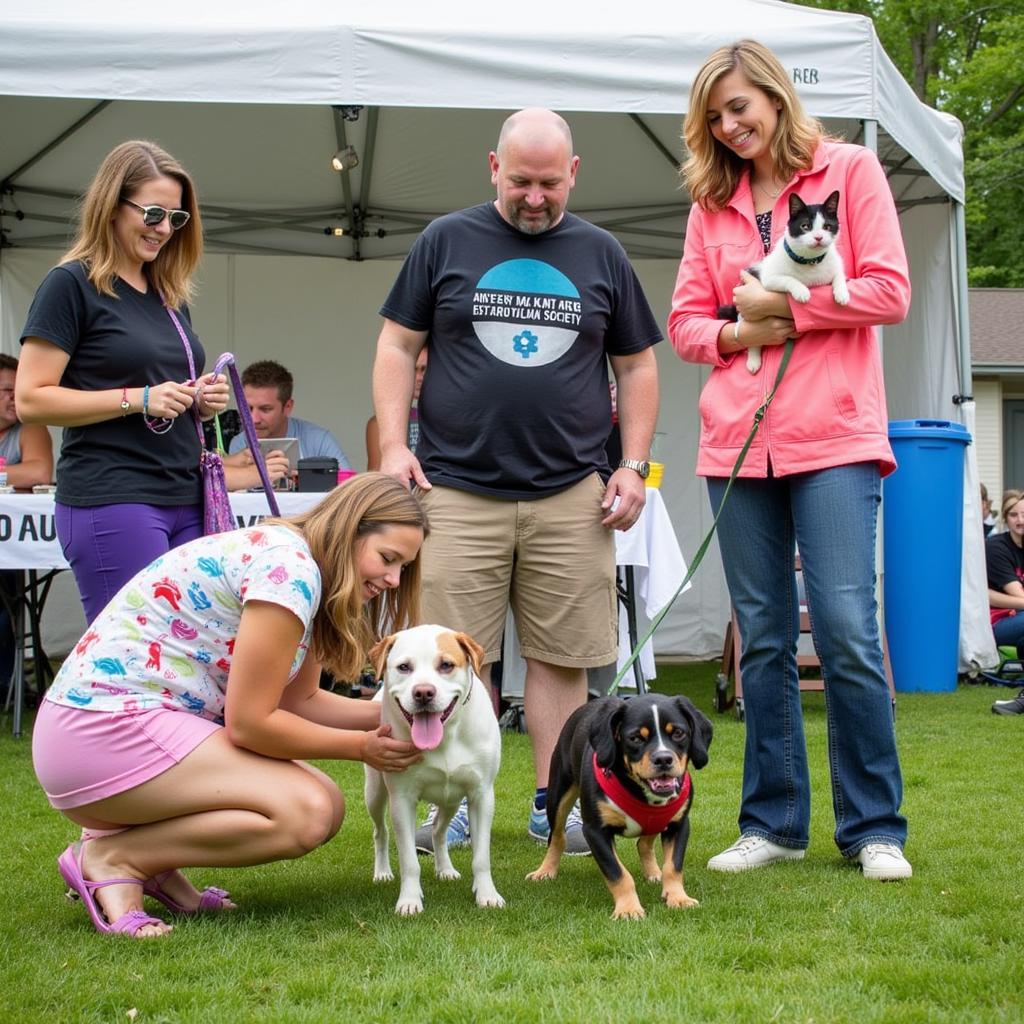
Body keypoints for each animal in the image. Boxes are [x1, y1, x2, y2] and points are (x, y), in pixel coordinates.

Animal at [364, 622, 503, 921]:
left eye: (446, 665)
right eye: (404, 667)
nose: (424, 692)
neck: (446, 736)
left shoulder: (481, 795)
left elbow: (482, 856)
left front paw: (486, 894)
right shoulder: (402, 799)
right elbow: (409, 861)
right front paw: (409, 900)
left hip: (451, 799)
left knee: (439, 830)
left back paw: (445, 868)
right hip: (375, 792)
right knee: (380, 831)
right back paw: (382, 872)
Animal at [528, 696, 712, 921]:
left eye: (678, 733)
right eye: (635, 738)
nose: (663, 759)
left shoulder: (679, 825)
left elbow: (673, 866)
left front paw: (678, 897)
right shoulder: (595, 831)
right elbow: (618, 873)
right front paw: (628, 908)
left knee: (644, 843)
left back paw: (653, 873)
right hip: (557, 796)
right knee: (557, 838)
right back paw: (545, 871)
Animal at [720, 190, 847, 374]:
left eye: (827, 227)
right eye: (805, 226)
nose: (818, 237)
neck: (810, 261)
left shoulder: (834, 264)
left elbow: (839, 275)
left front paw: (842, 293)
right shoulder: (769, 278)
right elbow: (788, 278)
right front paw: (802, 291)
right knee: (752, 338)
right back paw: (753, 360)